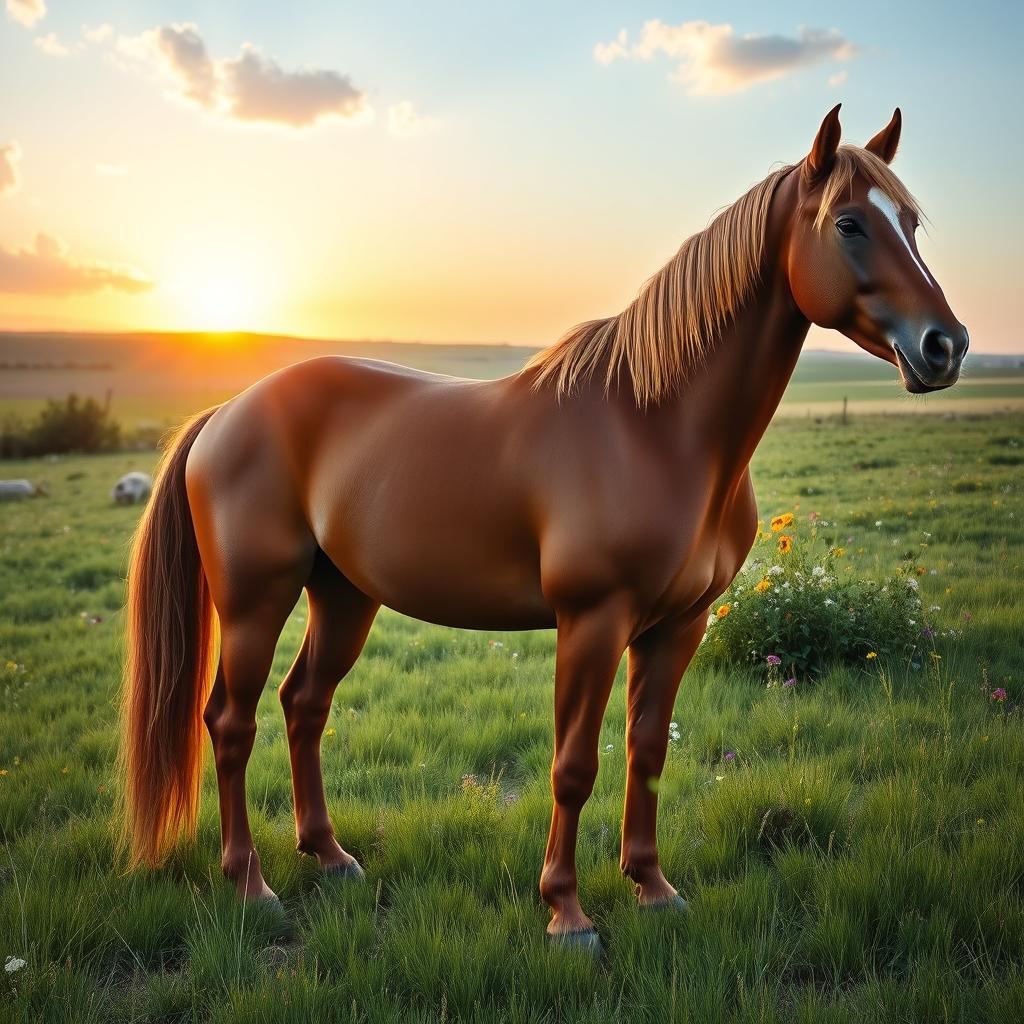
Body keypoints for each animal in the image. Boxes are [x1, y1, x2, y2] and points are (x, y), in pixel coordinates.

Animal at [119, 108, 966, 946]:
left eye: (911, 223)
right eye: (850, 223)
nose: (946, 345)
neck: (654, 429)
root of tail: (228, 412)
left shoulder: (678, 626)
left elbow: (646, 751)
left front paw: (652, 888)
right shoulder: (592, 622)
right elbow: (574, 765)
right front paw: (567, 912)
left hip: (344, 597)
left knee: (305, 706)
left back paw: (330, 857)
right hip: (255, 603)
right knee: (231, 724)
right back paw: (251, 885)